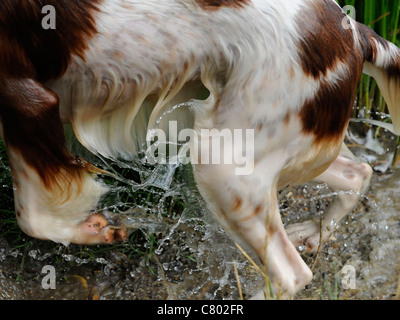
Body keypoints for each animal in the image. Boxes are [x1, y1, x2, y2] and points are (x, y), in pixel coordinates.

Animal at [0, 0, 400, 296]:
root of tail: (354, 31)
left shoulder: (27, 97)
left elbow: (31, 218)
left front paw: (95, 229)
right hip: (271, 140)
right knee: (358, 172)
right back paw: (315, 233)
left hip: (222, 162)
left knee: (292, 274)